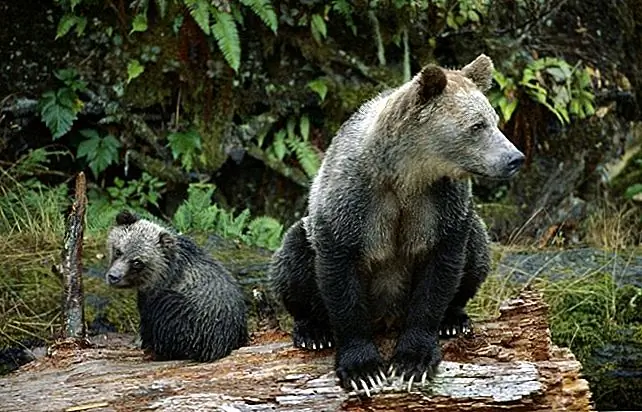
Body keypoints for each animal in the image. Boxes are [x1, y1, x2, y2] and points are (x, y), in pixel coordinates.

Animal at [269, 54, 524, 396]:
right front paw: (363, 369)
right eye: (477, 125)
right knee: (293, 256)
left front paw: (413, 361)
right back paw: (313, 331)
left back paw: (454, 320)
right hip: (304, 241)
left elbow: (440, 272)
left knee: (477, 252)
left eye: (495, 120)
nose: (515, 158)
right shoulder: (354, 201)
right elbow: (340, 272)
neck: (407, 173)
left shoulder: (441, 205)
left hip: (470, 232)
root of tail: (386, 320)